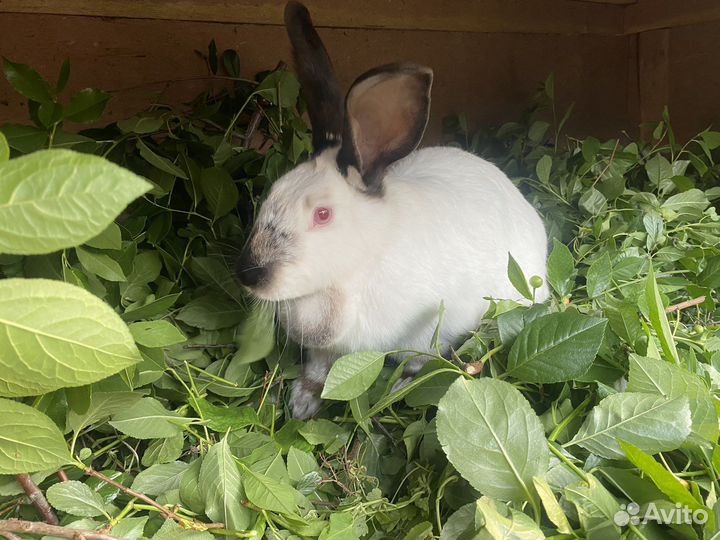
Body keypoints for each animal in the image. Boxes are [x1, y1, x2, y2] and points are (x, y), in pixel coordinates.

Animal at [236, 1, 549, 419]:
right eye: (271, 193)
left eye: (323, 215)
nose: (248, 274)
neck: (348, 275)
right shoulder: (323, 350)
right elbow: (318, 370)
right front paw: (302, 404)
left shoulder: (431, 330)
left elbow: (422, 360)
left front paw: (402, 386)